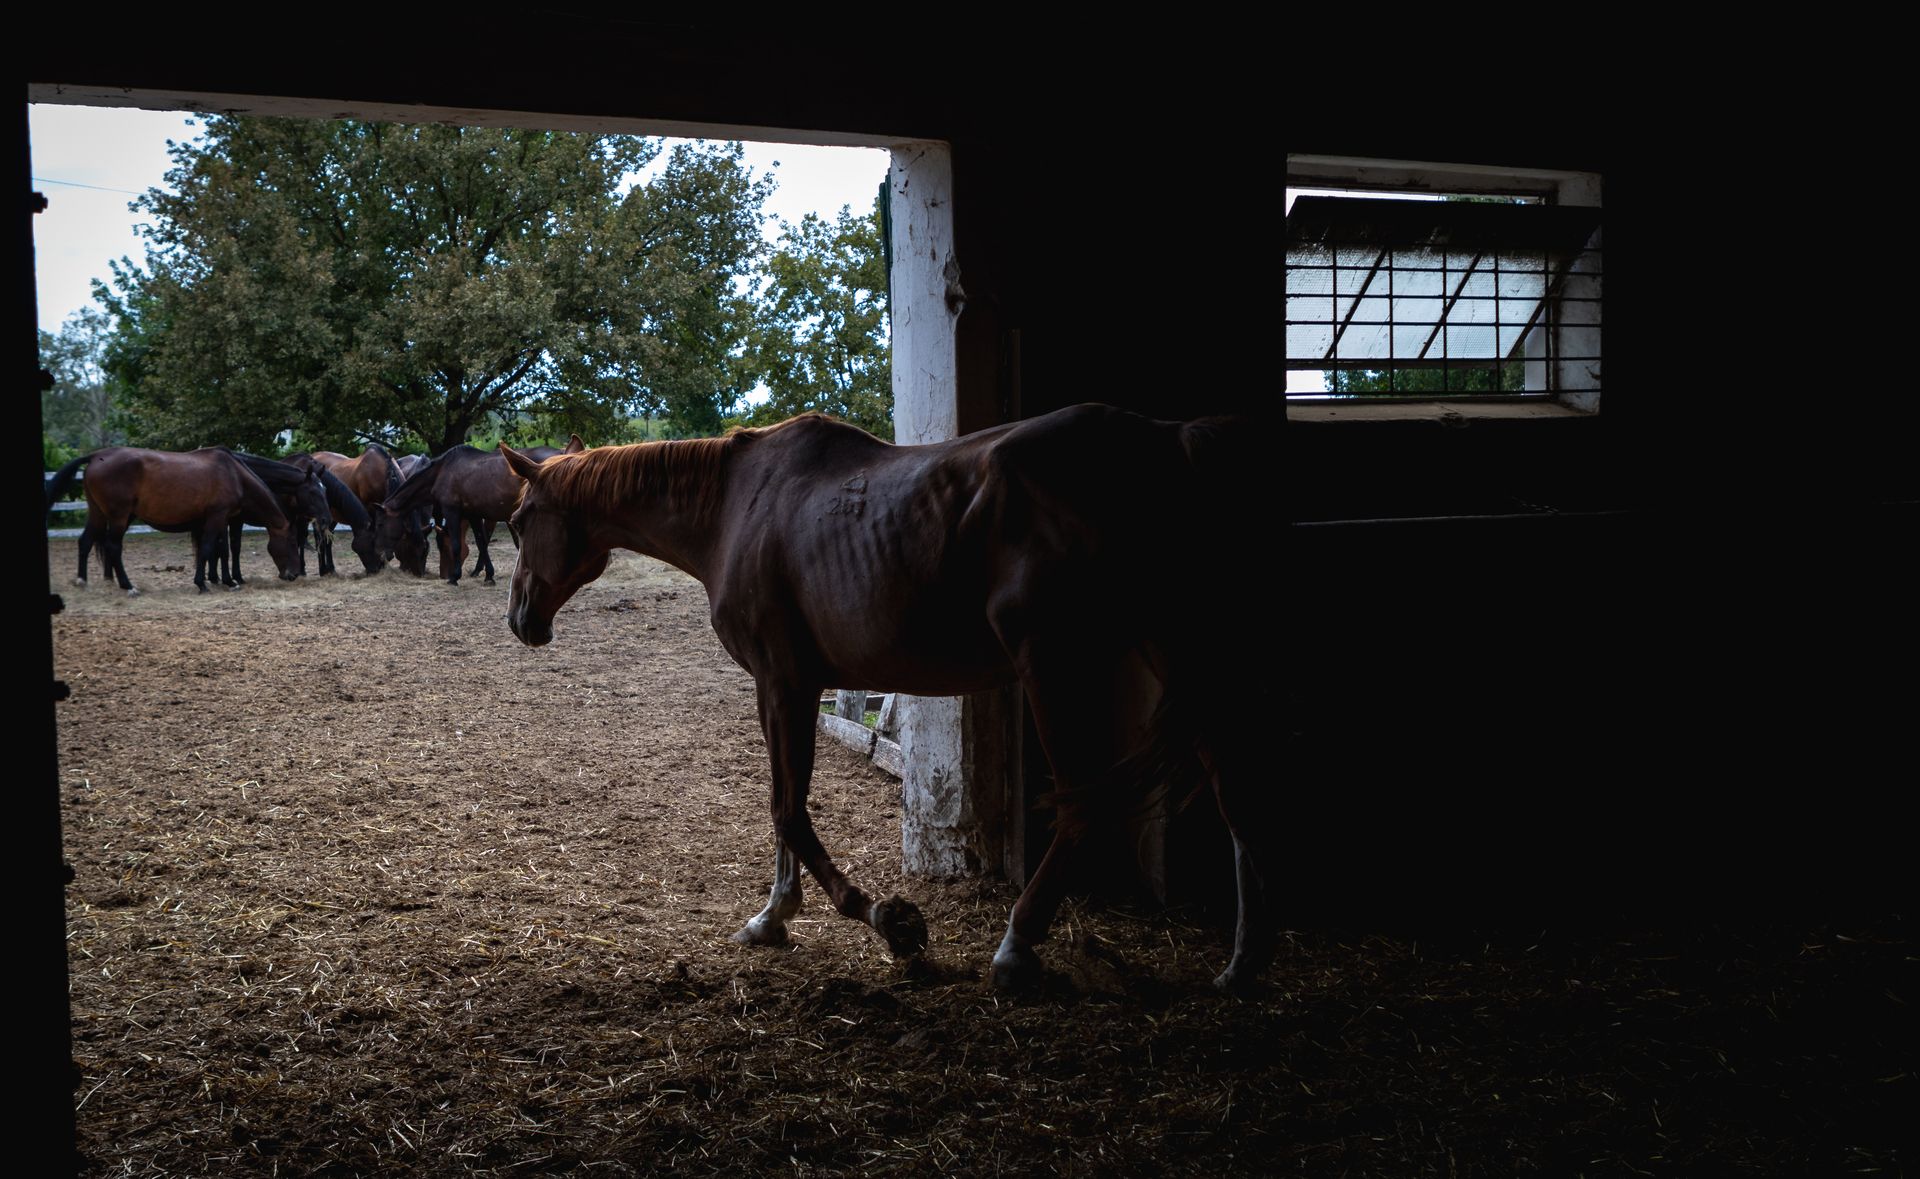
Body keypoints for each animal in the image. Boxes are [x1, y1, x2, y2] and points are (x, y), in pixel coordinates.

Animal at [45, 447, 299, 595]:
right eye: (292, 543)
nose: (293, 574)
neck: (233, 473)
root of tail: (97, 456)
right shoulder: (217, 517)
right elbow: (209, 548)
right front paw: (202, 583)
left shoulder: (220, 519)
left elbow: (221, 551)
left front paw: (227, 581)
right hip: (118, 517)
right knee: (113, 546)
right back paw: (128, 586)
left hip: (99, 513)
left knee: (86, 541)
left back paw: (82, 581)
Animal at [385, 438, 582, 585]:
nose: (416, 572)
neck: (442, 471)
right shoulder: (474, 514)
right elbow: (482, 543)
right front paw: (488, 575)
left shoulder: (452, 511)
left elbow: (458, 544)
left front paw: (455, 577)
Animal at [501, 404, 1268, 991]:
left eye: (518, 521)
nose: (520, 620)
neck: (734, 507)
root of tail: (1162, 441)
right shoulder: (783, 687)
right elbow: (784, 807)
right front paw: (775, 915)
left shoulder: (784, 682)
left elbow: (788, 809)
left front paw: (885, 921)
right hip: (1172, 654)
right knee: (1233, 791)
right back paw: (1241, 965)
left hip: (1054, 668)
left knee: (1084, 804)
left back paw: (1017, 947)